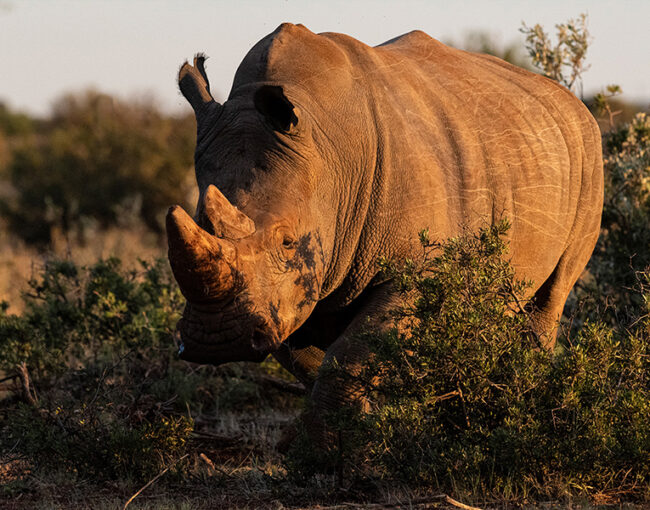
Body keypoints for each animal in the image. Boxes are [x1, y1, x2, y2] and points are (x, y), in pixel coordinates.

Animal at [167, 24, 603, 432]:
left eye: (288, 242)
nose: (215, 339)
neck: (328, 152)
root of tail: (575, 104)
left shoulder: (417, 269)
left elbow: (353, 354)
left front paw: (320, 450)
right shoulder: (284, 298)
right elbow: (323, 361)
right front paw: (358, 428)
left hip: (589, 158)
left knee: (551, 297)